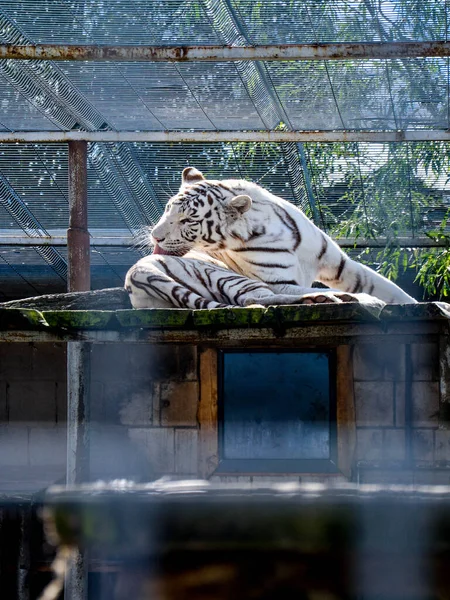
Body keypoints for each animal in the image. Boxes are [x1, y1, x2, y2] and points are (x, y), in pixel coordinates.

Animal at [125, 168, 416, 310]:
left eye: (188, 220)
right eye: (167, 210)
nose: (155, 236)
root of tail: (138, 273)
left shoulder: (341, 265)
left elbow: (390, 289)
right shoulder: (280, 282)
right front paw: (368, 298)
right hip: (225, 275)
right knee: (252, 300)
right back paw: (335, 300)